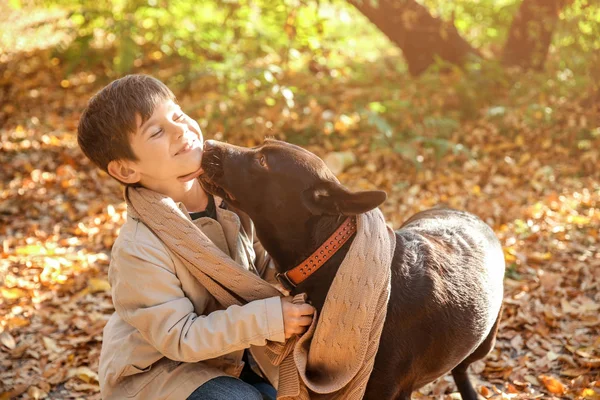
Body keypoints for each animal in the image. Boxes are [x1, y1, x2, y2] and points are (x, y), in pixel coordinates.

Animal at [199, 139, 504, 398]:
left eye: (263, 160)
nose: (207, 144)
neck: (329, 257)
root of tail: (469, 214)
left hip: (484, 341)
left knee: (462, 366)